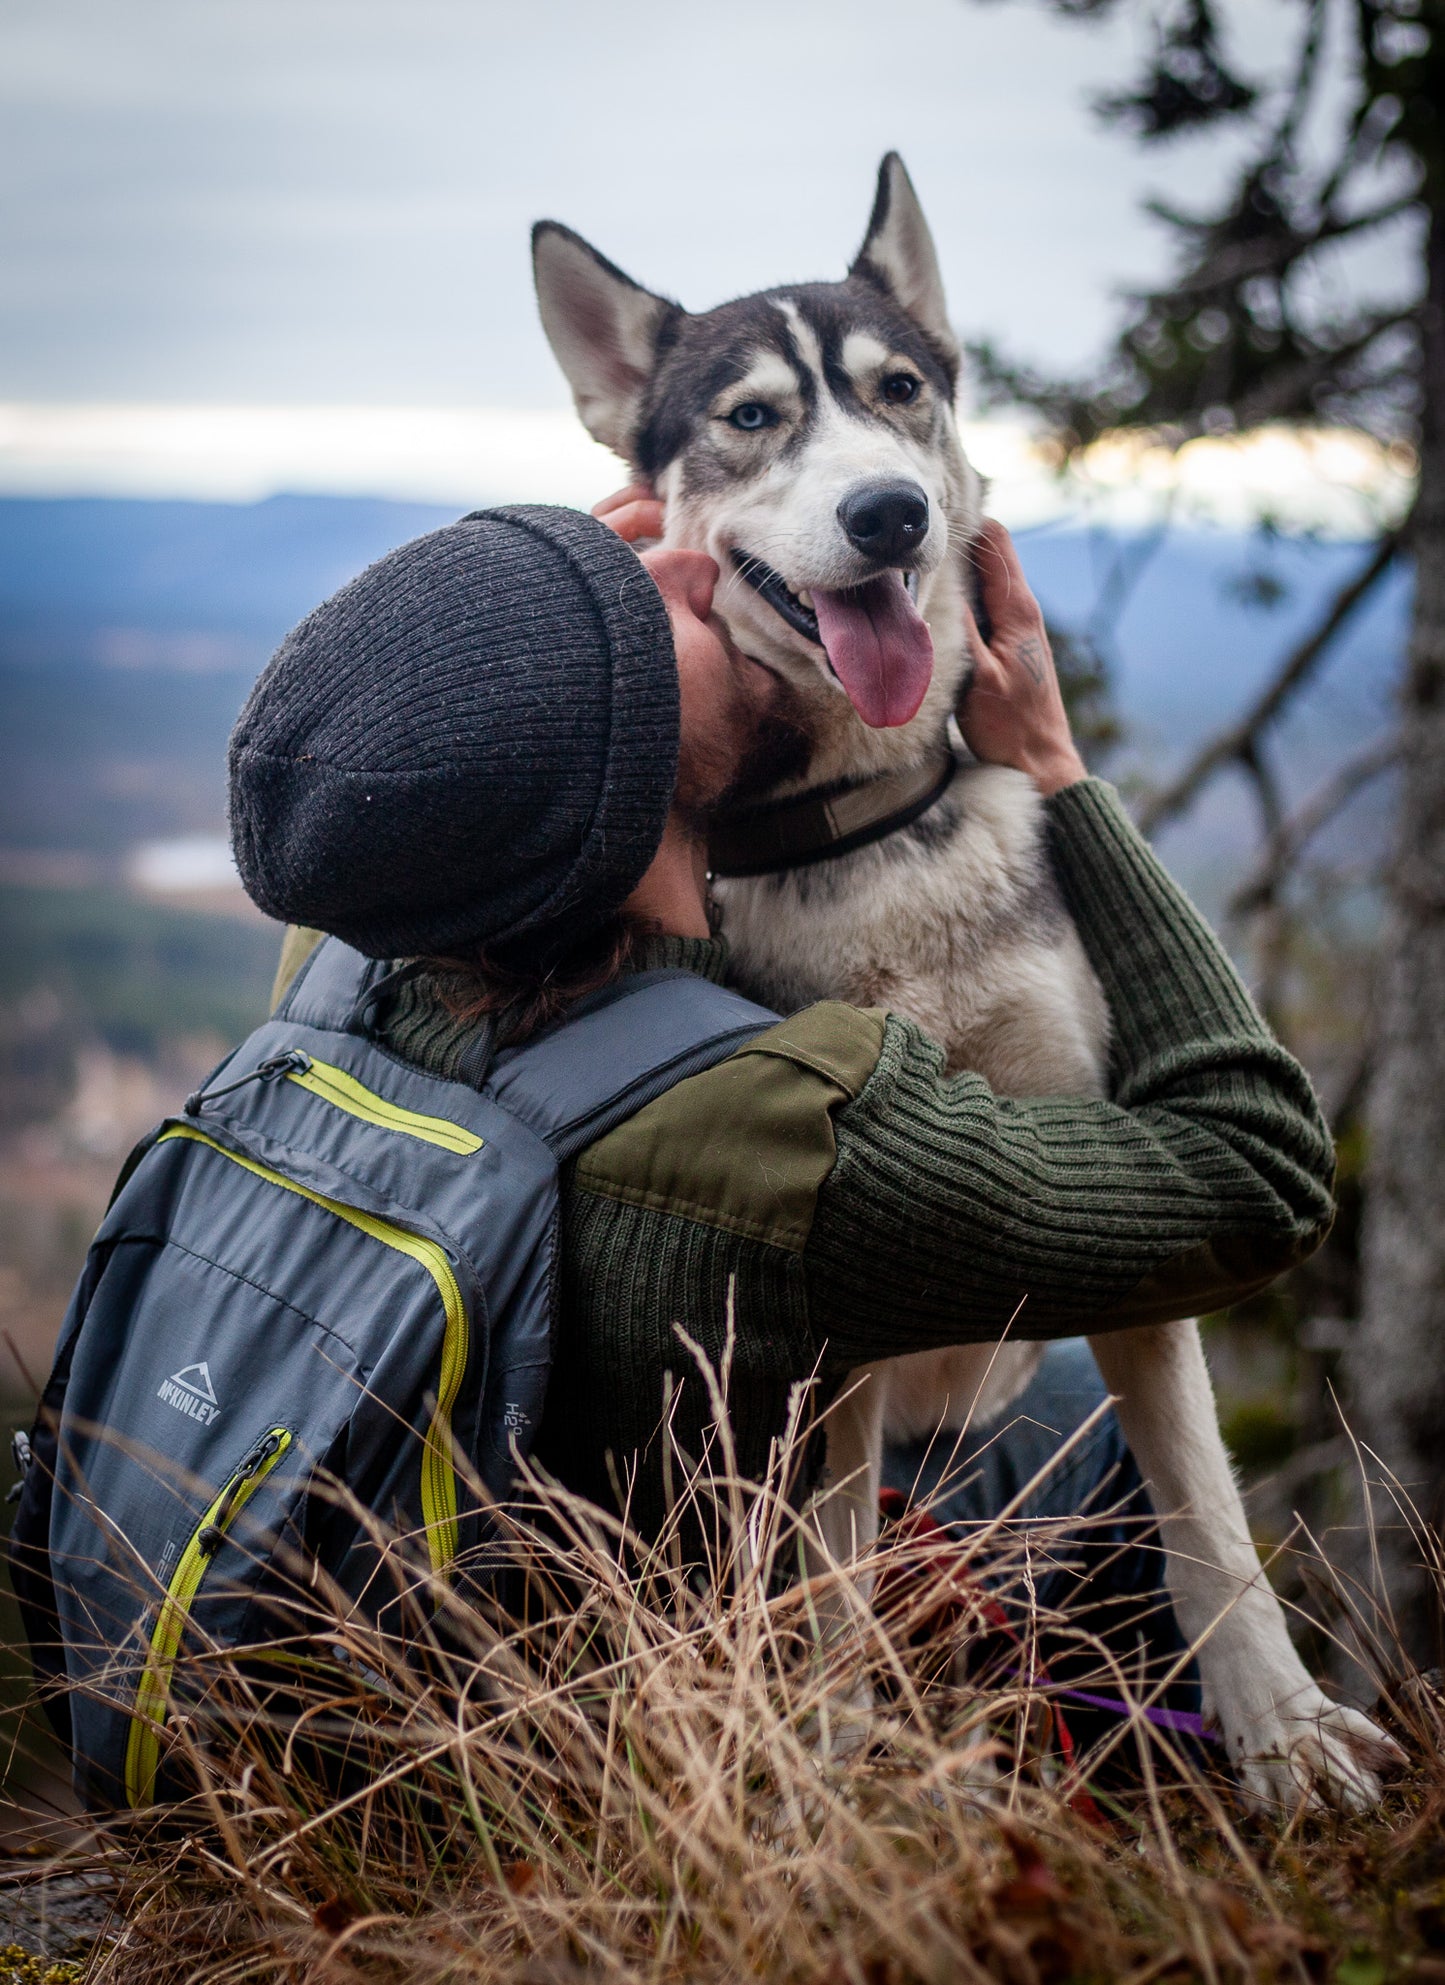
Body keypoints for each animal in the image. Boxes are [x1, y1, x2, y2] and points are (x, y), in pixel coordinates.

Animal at [535, 146, 1397, 1810]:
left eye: (901, 390)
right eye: (752, 417)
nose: (890, 510)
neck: (876, 842)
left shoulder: (1122, 1197)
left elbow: (1206, 1515)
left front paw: (1279, 1728)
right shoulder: (830, 1335)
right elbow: (826, 1572)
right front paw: (833, 1752)